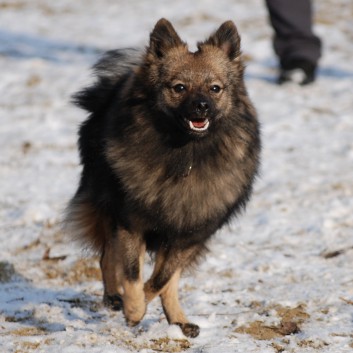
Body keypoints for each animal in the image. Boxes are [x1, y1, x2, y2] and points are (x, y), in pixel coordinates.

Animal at [65, 17, 258, 336]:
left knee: (169, 279)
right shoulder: (131, 222)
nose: (202, 105)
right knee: (107, 257)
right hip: (106, 206)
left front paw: (144, 305)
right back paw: (113, 297)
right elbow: (132, 273)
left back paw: (178, 320)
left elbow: (161, 279)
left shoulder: (188, 234)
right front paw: (133, 308)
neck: (184, 156)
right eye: (179, 87)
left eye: (215, 88)